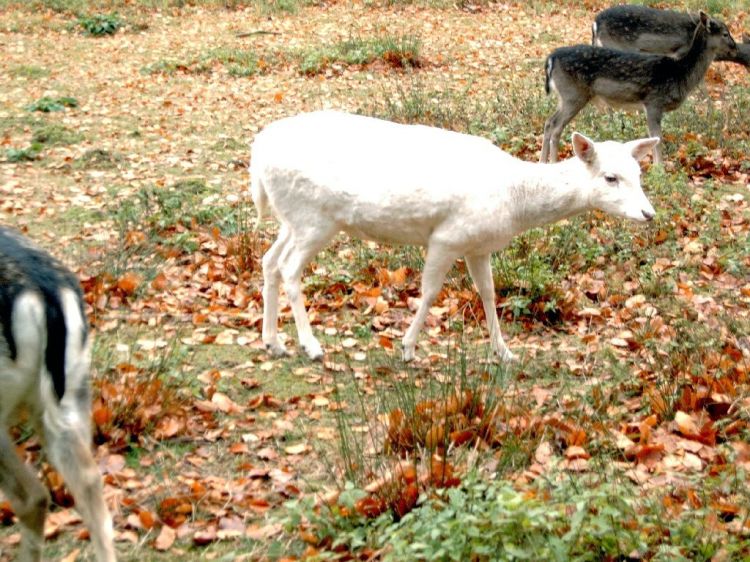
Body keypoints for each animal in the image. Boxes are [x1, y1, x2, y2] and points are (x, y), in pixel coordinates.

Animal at [251, 111, 656, 360]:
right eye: (610, 177)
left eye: (639, 172)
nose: (648, 214)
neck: (515, 200)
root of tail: (257, 154)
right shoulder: (447, 237)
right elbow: (430, 291)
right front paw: (408, 348)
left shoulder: (478, 246)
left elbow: (488, 293)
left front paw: (504, 352)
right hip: (314, 219)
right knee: (289, 269)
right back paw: (311, 345)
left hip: (292, 218)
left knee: (269, 261)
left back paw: (273, 342)